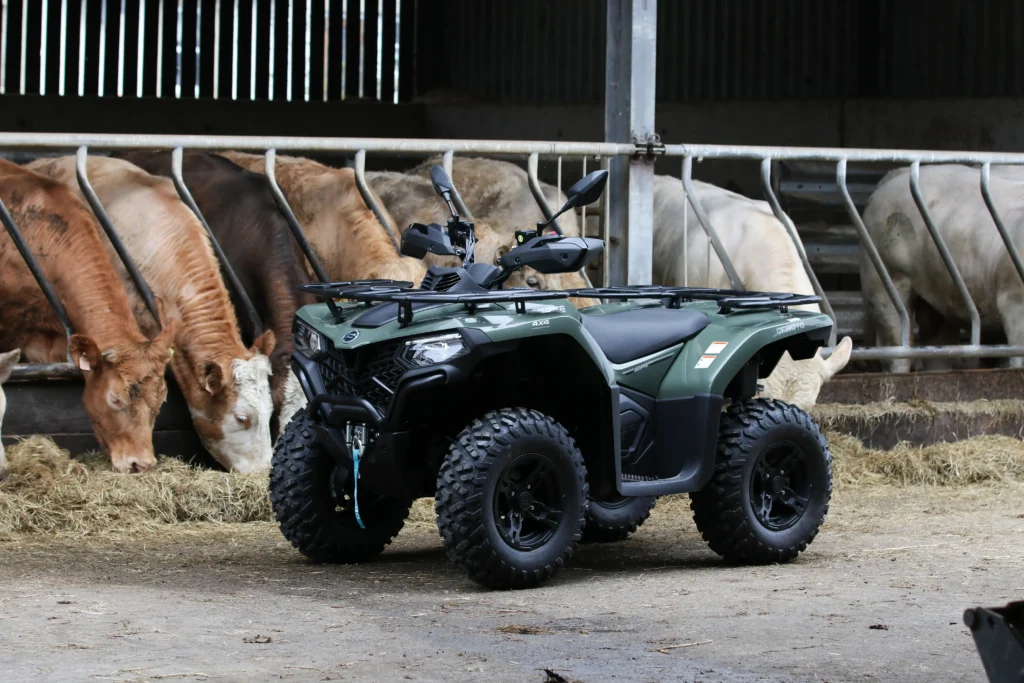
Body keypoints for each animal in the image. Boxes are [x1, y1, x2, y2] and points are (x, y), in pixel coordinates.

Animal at [861, 163, 1024, 373]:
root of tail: (895, 175)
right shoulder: (1013, 301)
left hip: (938, 296)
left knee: (937, 347)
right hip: (884, 281)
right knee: (897, 346)